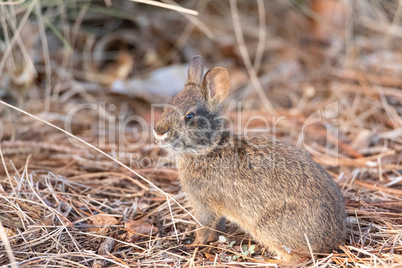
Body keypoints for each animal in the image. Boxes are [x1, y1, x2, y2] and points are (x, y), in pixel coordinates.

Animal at [153, 55, 346, 264]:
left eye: (189, 116)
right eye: (169, 104)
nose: (158, 132)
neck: (208, 149)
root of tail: (334, 239)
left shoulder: (205, 204)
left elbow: (203, 227)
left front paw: (194, 245)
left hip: (268, 227)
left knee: (297, 258)